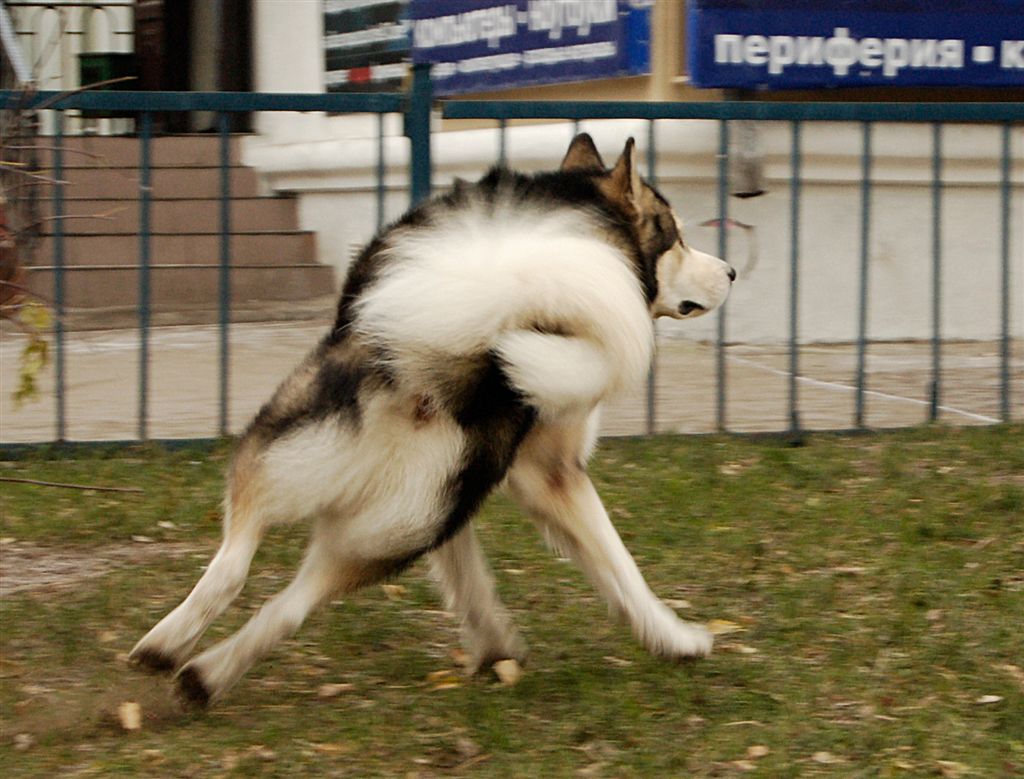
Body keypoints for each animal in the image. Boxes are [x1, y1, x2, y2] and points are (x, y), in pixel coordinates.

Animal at [132, 134, 737, 704]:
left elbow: (468, 571)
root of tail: (425, 370)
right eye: (677, 237)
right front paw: (672, 637)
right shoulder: (550, 472)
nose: (731, 270)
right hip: (388, 511)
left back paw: (182, 661)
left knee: (252, 575)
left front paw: (493, 644)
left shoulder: (470, 489)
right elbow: (619, 565)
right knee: (276, 589)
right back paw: (195, 668)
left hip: (348, 495)